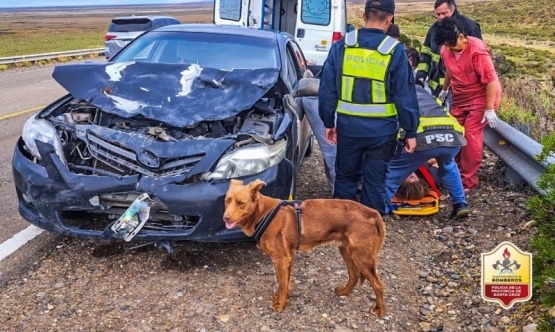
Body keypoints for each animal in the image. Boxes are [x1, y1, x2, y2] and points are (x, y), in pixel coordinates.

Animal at [224, 179, 388, 316]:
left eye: (241, 203)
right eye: (227, 201)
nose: (225, 217)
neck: (263, 213)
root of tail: (373, 212)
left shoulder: (281, 259)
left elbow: (282, 284)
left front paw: (280, 305)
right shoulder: (286, 258)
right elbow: (284, 283)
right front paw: (281, 297)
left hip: (362, 257)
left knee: (378, 284)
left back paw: (379, 310)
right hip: (346, 251)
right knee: (353, 275)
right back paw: (344, 292)